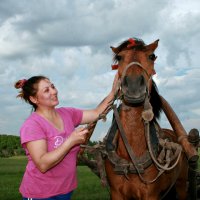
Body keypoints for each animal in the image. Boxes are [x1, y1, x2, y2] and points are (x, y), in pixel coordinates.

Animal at [104, 38, 190, 200]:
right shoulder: (116, 193)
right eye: (119, 57)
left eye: (151, 56)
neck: (131, 157)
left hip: (182, 184)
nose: (133, 85)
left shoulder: (150, 195)